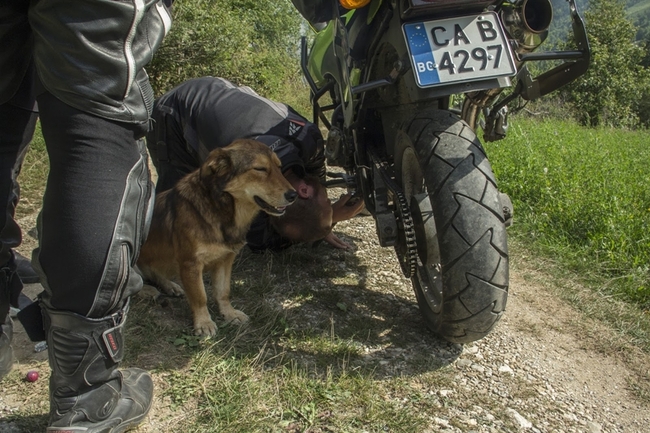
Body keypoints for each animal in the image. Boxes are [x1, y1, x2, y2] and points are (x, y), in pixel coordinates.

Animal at [138, 138, 298, 334]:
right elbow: (200, 297)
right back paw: (146, 290)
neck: (221, 209)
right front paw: (204, 323)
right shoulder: (191, 264)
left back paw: (171, 286)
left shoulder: (225, 259)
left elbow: (223, 292)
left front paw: (229, 314)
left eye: (279, 167)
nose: (294, 195)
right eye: (260, 169)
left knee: (155, 273)